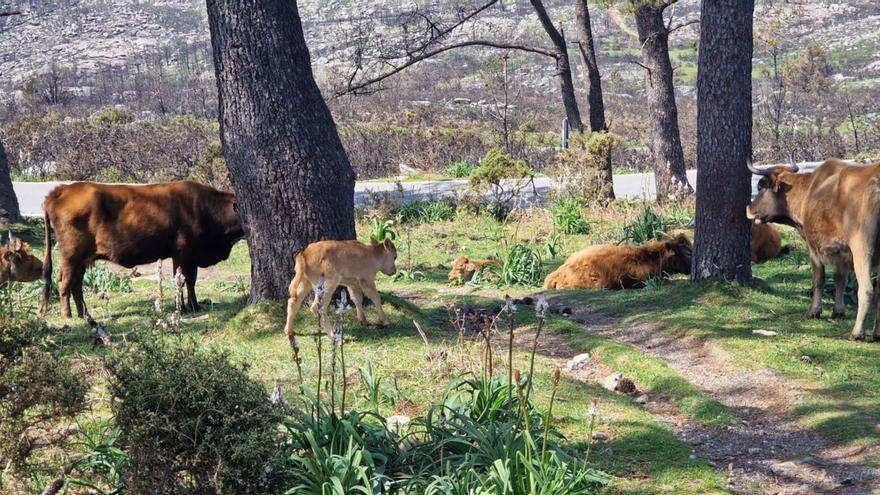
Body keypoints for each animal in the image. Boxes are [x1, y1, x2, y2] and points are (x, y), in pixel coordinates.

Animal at [41, 181, 244, 318]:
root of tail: (62, 189)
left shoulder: (193, 255)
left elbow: (191, 281)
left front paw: (195, 306)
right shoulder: (181, 252)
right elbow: (180, 280)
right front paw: (182, 309)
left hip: (83, 259)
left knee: (76, 284)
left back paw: (83, 313)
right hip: (71, 256)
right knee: (65, 281)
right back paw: (67, 314)